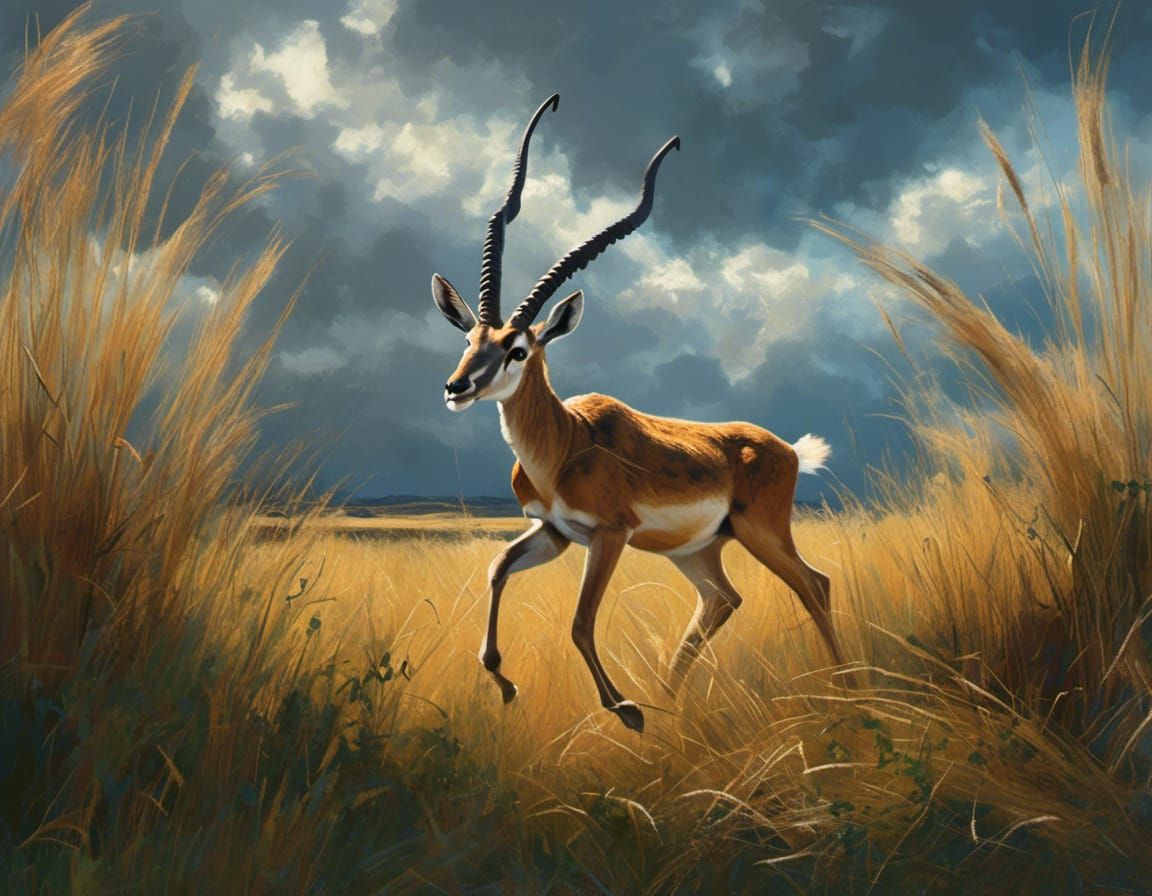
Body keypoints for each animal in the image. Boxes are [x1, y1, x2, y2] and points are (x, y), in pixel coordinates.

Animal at [432, 95, 846, 732]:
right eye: (470, 338)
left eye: (518, 349)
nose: (457, 387)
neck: (564, 446)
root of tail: (786, 448)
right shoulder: (554, 532)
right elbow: (497, 568)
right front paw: (504, 683)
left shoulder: (610, 535)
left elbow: (580, 622)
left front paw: (626, 709)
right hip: (698, 550)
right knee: (724, 599)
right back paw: (672, 701)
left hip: (761, 533)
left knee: (815, 585)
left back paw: (848, 690)